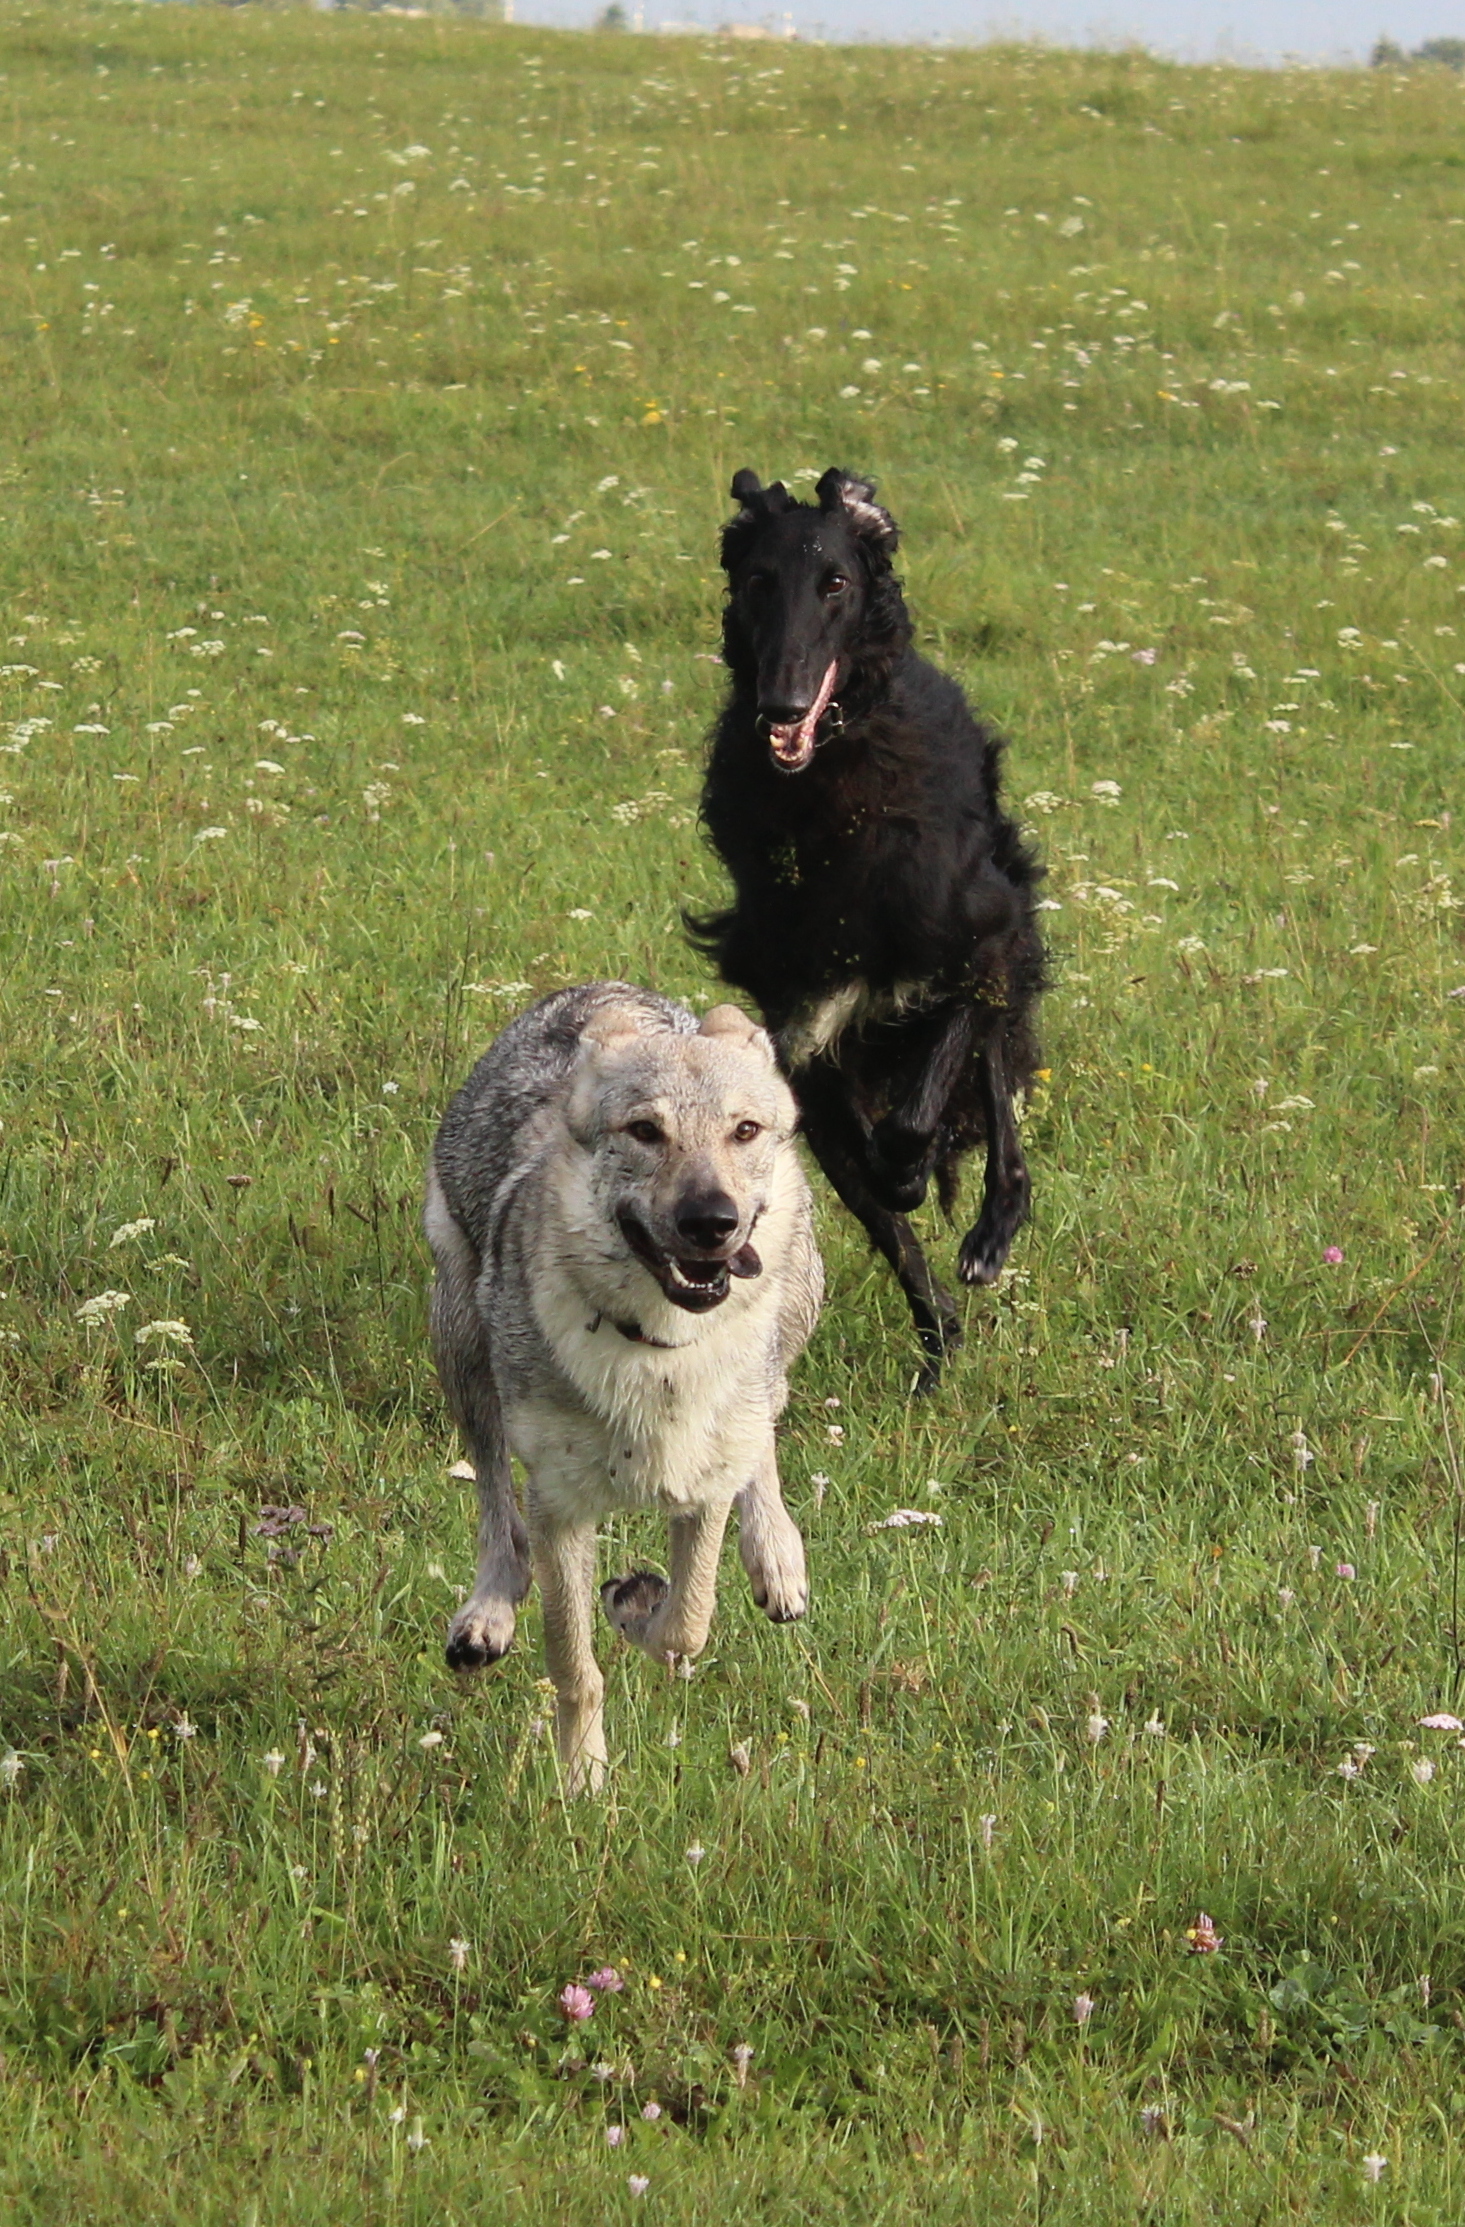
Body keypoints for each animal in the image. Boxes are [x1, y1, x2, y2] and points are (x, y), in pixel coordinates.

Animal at [685, 460, 1037, 1380]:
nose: (780, 706)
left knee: (990, 1085)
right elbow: (877, 1192)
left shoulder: (975, 946)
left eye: (835, 583)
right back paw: (937, 1351)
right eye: (757, 580)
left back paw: (989, 1229)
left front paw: (919, 1169)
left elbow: (918, 1118)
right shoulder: (802, 1037)